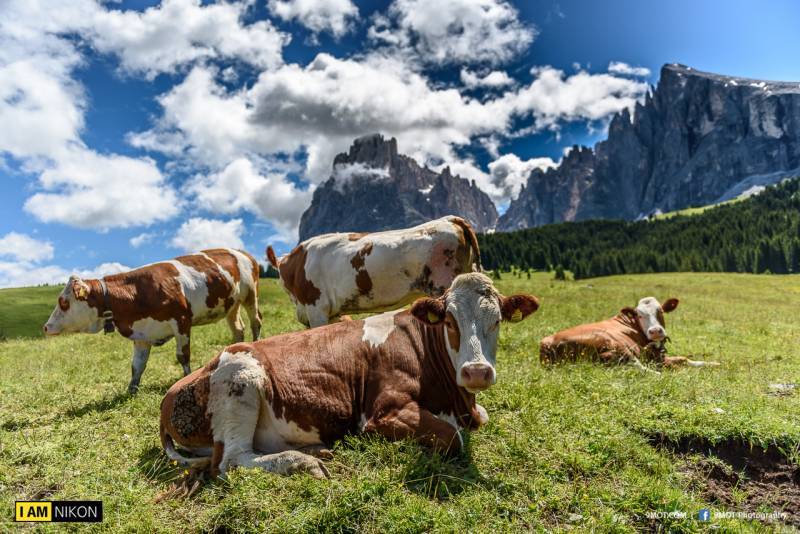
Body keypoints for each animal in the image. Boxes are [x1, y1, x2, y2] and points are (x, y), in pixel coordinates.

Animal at [43, 249, 262, 396]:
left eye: (63, 302)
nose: (45, 327)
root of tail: (240, 251)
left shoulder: (182, 322)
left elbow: (182, 356)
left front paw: (185, 378)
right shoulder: (141, 334)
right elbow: (137, 365)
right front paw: (131, 390)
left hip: (250, 294)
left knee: (256, 322)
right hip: (231, 305)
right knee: (238, 329)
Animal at [159, 274, 540, 480]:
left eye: (497, 320)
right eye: (449, 320)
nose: (476, 371)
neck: (455, 400)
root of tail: (171, 393)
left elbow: (481, 418)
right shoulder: (382, 411)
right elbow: (452, 438)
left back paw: (315, 450)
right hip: (241, 380)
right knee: (231, 462)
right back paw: (304, 462)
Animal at [536, 298, 720, 372]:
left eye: (660, 310)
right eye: (639, 315)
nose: (655, 331)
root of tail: (548, 342)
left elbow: (684, 359)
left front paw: (713, 363)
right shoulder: (654, 357)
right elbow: (679, 361)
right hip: (615, 344)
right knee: (639, 367)